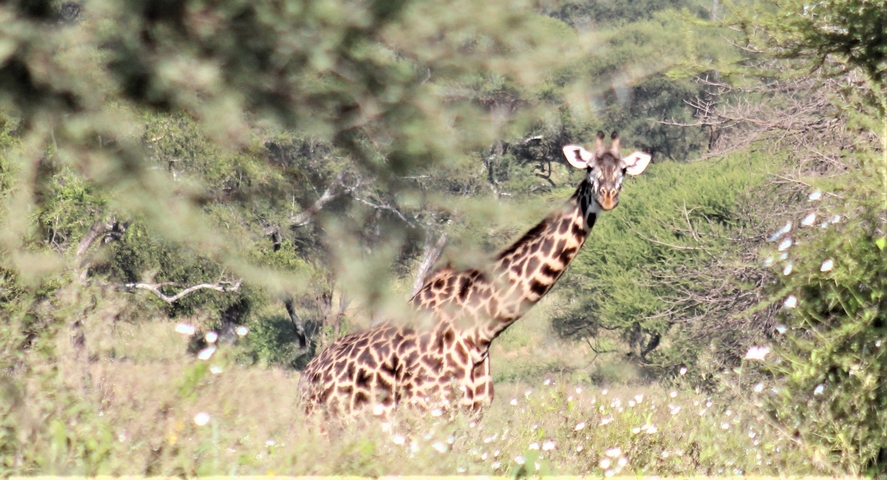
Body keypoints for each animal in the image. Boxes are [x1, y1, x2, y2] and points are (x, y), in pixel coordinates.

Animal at [299, 131, 652, 417]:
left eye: (623, 169)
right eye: (589, 168)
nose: (608, 195)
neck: (481, 329)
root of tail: (307, 375)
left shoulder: (472, 417)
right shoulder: (426, 413)